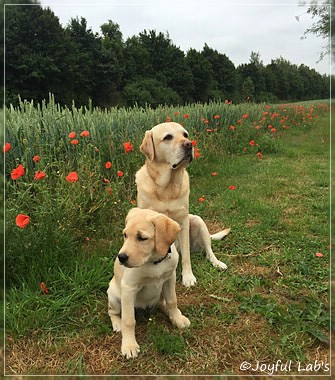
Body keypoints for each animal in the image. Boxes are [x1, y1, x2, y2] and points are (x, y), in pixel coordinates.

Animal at [108, 208, 190, 360]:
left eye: (142, 238)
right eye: (125, 235)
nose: (121, 257)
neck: (154, 262)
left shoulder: (170, 278)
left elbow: (172, 301)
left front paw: (177, 318)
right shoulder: (129, 288)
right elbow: (128, 320)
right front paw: (129, 345)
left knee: (162, 303)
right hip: (114, 297)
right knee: (113, 312)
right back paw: (117, 324)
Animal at [136, 122, 231, 288]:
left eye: (185, 135)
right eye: (168, 137)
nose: (189, 144)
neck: (167, 187)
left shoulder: (183, 222)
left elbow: (186, 257)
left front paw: (188, 277)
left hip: (197, 221)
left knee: (208, 251)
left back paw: (217, 263)